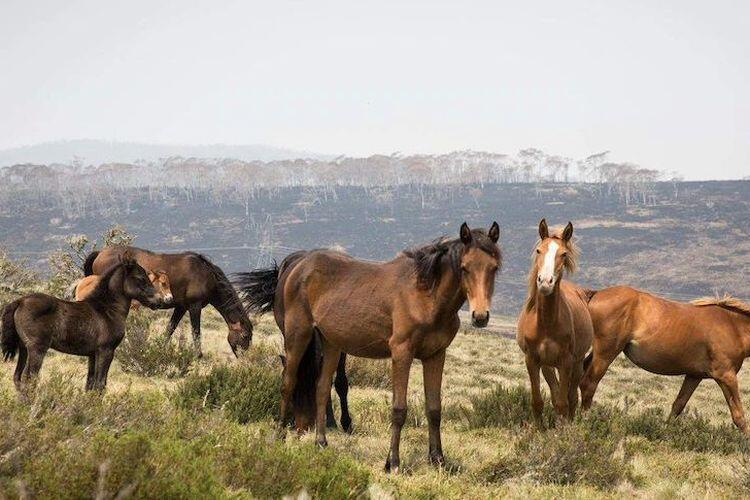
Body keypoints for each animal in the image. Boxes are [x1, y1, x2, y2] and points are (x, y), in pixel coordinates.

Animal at [1, 254, 163, 390]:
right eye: (140, 278)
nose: (160, 301)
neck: (107, 309)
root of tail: (20, 301)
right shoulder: (106, 350)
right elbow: (100, 385)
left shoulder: (92, 354)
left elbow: (90, 384)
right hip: (37, 349)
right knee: (29, 379)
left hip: (23, 347)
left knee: (18, 377)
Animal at [82, 246, 253, 356]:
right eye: (245, 336)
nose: (245, 358)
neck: (206, 274)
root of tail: (100, 253)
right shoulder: (194, 306)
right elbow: (196, 332)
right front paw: (198, 356)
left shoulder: (181, 307)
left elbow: (170, 329)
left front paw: (161, 349)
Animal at [238, 223, 502, 472]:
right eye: (464, 267)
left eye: (494, 267)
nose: (480, 316)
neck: (425, 296)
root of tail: (298, 266)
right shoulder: (402, 354)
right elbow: (399, 409)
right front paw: (392, 462)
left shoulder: (436, 355)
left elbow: (434, 409)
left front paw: (438, 460)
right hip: (297, 336)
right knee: (288, 383)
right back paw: (279, 436)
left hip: (331, 344)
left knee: (322, 387)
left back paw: (321, 442)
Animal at [516, 220, 592, 422]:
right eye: (538, 250)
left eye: (564, 254)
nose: (545, 282)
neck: (546, 324)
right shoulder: (532, 360)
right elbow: (538, 402)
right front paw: (538, 428)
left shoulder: (566, 362)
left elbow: (563, 403)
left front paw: (563, 428)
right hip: (548, 366)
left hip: (576, 363)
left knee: (571, 397)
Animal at [584, 288, 750, 432]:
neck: (733, 327)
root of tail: (596, 294)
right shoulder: (726, 376)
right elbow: (739, 416)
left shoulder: (694, 376)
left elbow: (678, 405)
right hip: (606, 354)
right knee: (589, 384)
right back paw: (584, 420)